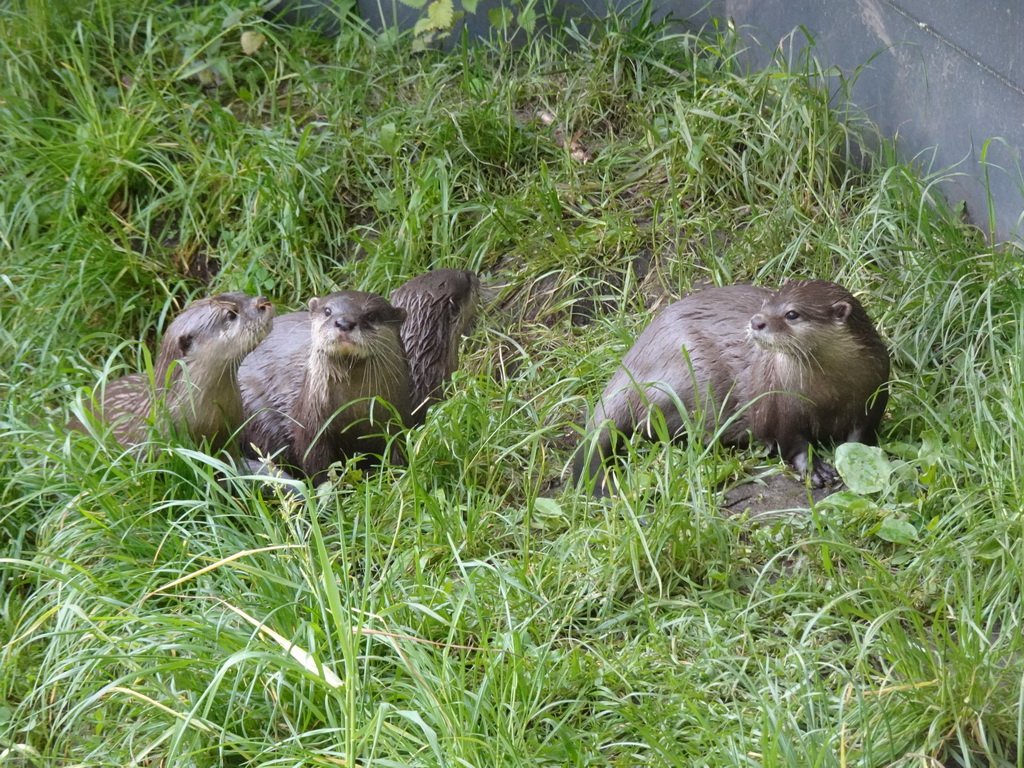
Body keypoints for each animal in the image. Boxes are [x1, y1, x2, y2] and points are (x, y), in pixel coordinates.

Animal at [238, 270, 479, 481]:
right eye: (327, 311)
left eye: (371, 315)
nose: (344, 322)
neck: (353, 408)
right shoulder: (311, 426)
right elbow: (317, 465)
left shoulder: (397, 421)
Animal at [573, 280, 892, 495]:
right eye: (765, 305)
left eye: (792, 314)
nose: (756, 321)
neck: (828, 394)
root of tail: (633, 365)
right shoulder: (779, 402)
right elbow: (791, 441)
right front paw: (814, 468)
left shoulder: (873, 394)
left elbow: (860, 437)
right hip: (682, 381)